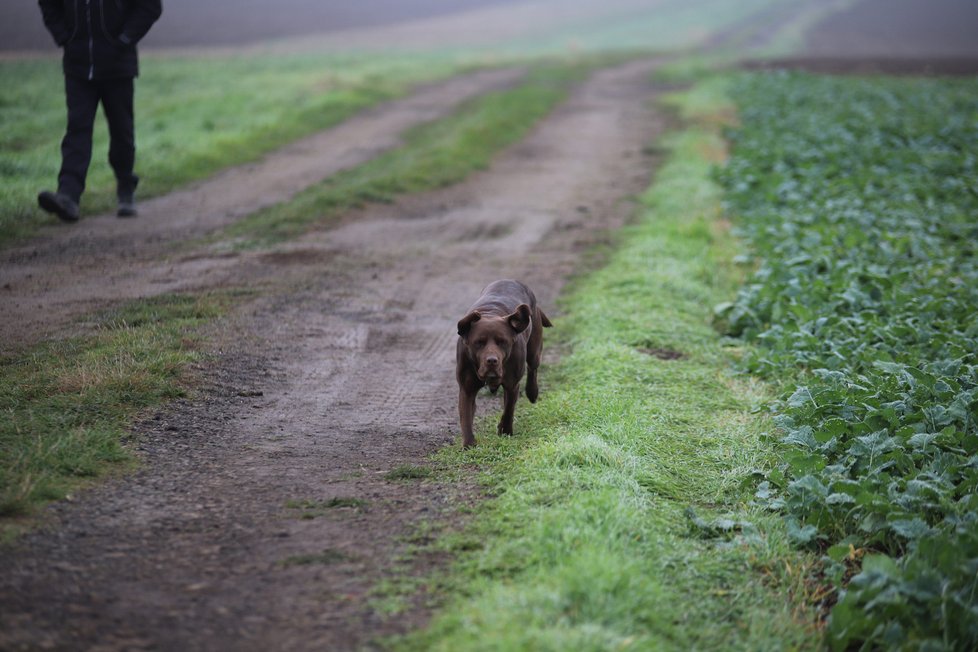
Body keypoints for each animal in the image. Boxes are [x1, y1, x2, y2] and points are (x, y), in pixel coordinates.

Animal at [456, 280, 552, 448]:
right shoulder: (466, 387)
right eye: (479, 342)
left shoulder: (512, 384)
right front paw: (469, 444)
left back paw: (532, 392)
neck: (490, 314)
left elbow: (508, 409)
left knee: (533, 368)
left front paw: (505, 431)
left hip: (534, 350)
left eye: (502, 342)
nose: (492, 360)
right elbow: (466, 415)